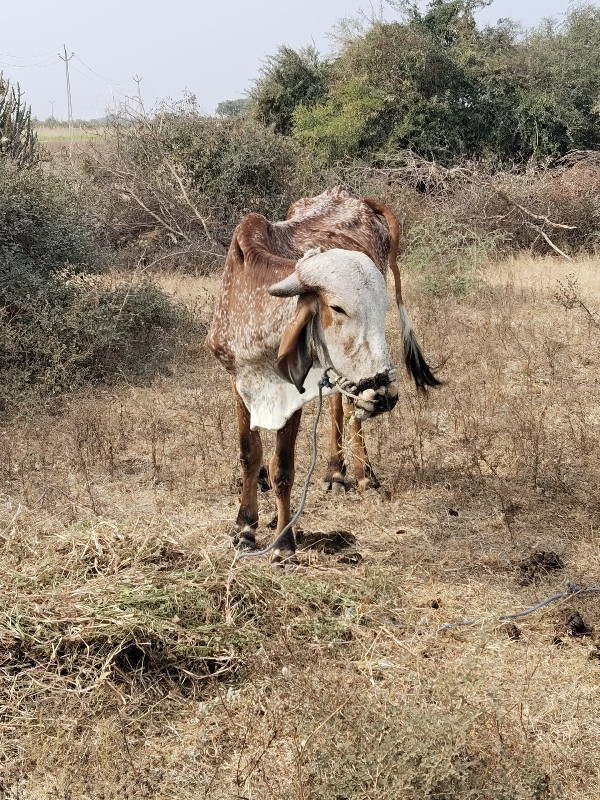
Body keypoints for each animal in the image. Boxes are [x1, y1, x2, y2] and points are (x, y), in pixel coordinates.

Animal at [209, 187, 438, 564]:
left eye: (382, 308)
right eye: (337, 307)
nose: (386, 395)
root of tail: (355, 199)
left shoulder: (292, 395)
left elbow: (282, 467)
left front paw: (284, 544)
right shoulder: (237, 380)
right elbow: (249, 454)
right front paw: (244, 527)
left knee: (349, 407)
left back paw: (363, 475)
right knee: (339, 404)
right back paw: (335, 471)